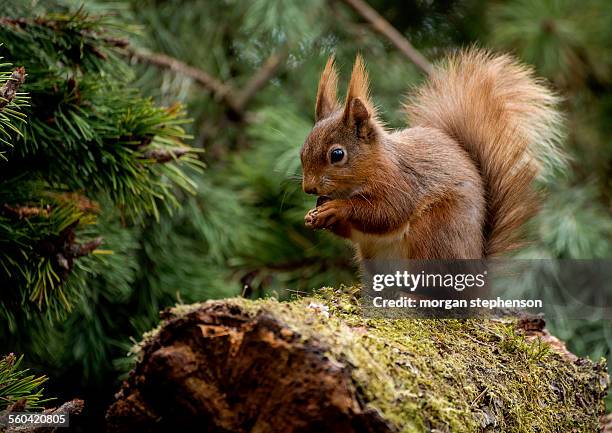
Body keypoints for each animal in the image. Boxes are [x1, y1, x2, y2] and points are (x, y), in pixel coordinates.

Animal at [298, 50, 560, 260]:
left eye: (337, 154)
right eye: (302, 151)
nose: (309, 188)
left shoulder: (400, 183)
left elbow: (387, 213)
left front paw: (337, 208)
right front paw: (313, 216)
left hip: (435, 231)